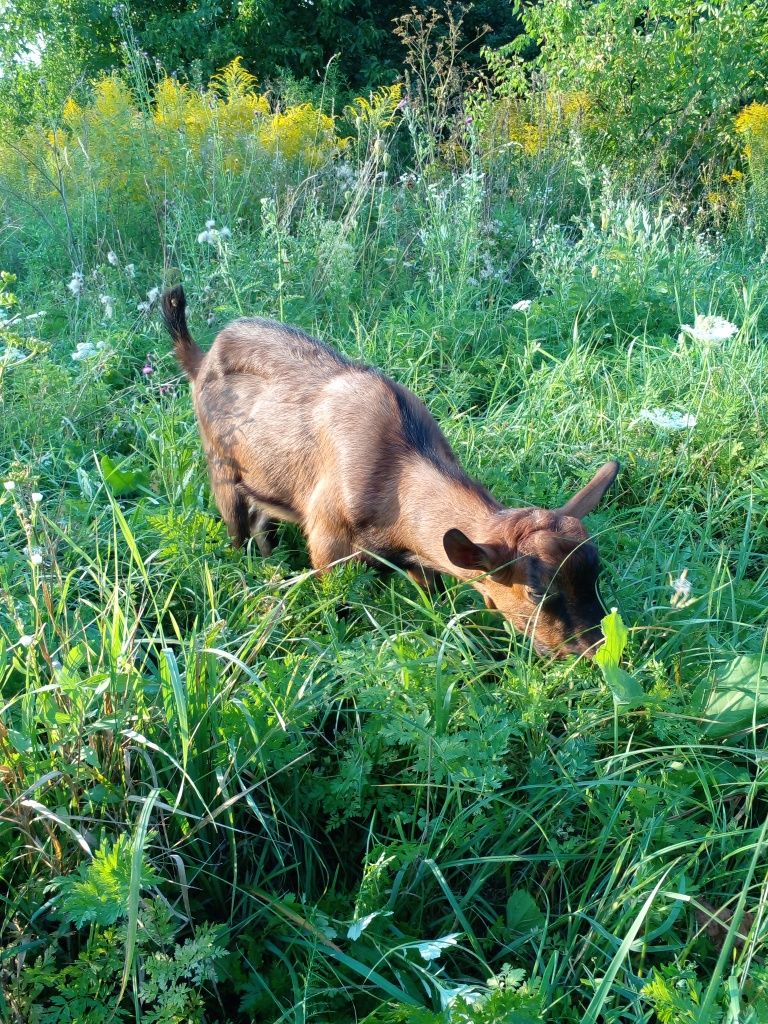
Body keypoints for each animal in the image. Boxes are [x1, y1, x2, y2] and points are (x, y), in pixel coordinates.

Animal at [162, 286, 618, 655]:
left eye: (596, 572)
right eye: (536, 590)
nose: (594, 650)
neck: (395, 473)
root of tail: (201, 358)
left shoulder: (415, 557)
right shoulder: (327, 547)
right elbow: (338, 609)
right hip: (221, 472)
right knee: (238, 533)